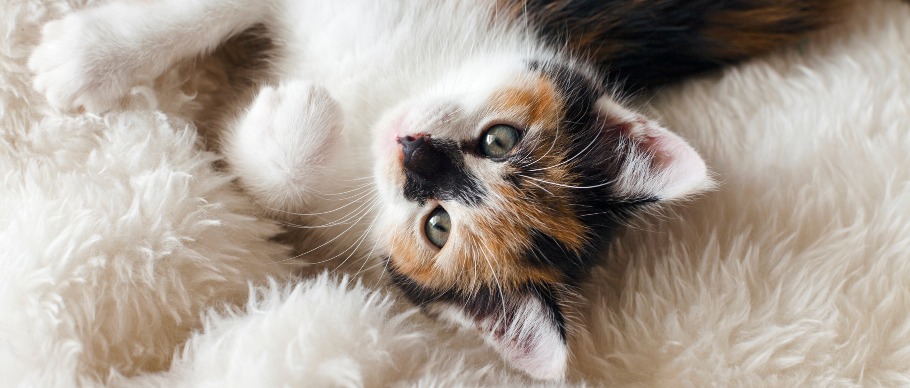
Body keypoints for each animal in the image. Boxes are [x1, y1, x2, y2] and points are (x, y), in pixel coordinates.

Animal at [30, 0, 848, 382]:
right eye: (500, 139)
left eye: (435, 226)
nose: (415, 154)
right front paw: (87, 56)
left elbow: (257, 173)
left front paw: (300, 117)